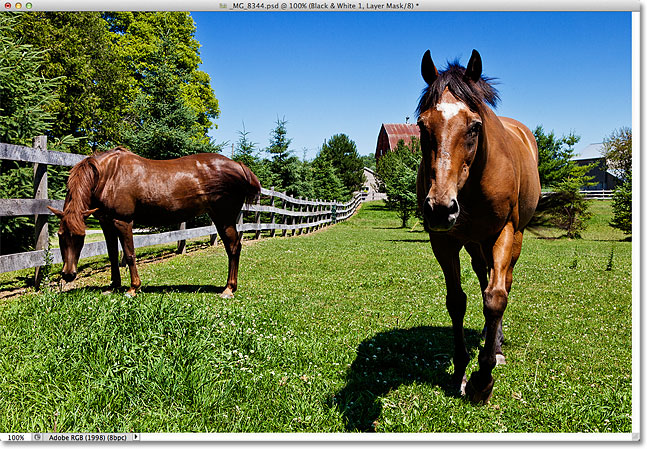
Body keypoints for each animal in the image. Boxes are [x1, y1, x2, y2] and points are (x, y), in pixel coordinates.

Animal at [48, 146, 262, 298]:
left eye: (80, 236)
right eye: (60, 235)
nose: (68, 274)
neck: (108, 175)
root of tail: (239, 166)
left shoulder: (123, 222)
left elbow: (129, 254)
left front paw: (133, 289)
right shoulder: (106, 223)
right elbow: (112, 255)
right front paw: (113, 286)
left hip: (224, 218)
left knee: (233, 247)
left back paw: (228, 289)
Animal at [416, 50, 540, 404]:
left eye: (474, 126)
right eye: (422, 125)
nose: (440, 208)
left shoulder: (504, 232)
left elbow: (496, 298)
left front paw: (483, 379)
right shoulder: (443, 241)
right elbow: (457, 301)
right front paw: (460, 369)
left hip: (512, 238)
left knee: (502, 283)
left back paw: (495, 344)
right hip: (474, 244)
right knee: (484, 276)